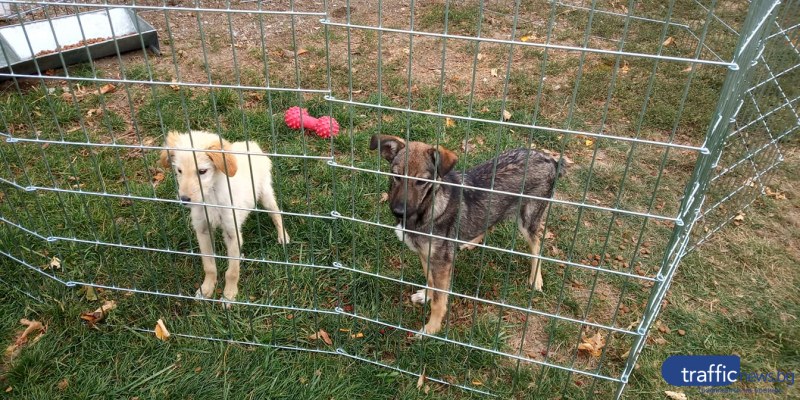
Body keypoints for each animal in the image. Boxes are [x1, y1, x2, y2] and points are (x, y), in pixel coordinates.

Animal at [159, 130, 290, 304]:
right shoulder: (202, 230)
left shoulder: (232, 232)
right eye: (179, 171)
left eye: (202, 171)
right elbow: (209, 266)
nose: (184, 199)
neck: (211, 197)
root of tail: (250, 144)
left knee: (276, 213)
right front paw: (206, 289)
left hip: (265, 194)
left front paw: (229, 295)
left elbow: (232, 271)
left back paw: (283, 235)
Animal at [370, 134, 564, 334]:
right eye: (396, 176)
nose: (398, 212)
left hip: (528, 219)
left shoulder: (442, 262)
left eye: (421, 181)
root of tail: (551, 160)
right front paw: (426, 295)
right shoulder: (427, 255)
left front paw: (431, 329)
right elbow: (430, 280)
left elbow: (439, 301)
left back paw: (536, 279)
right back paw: (471, 241)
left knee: (537, 246)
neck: (429, 208)